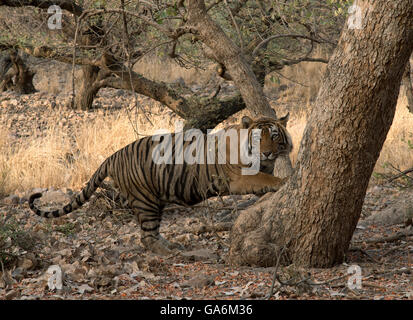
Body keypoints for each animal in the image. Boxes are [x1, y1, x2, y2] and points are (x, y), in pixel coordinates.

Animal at [29, 114, 292, 254]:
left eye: (274, 136)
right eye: (258, 139)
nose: (267, 153)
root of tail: (112, 156)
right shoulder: (242, 177)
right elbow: (268, 179)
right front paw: (285, 181)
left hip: (155, 198)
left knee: (152, 232)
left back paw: (170, 244)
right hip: (145, 200)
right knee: (146, 237)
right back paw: (168, 252)